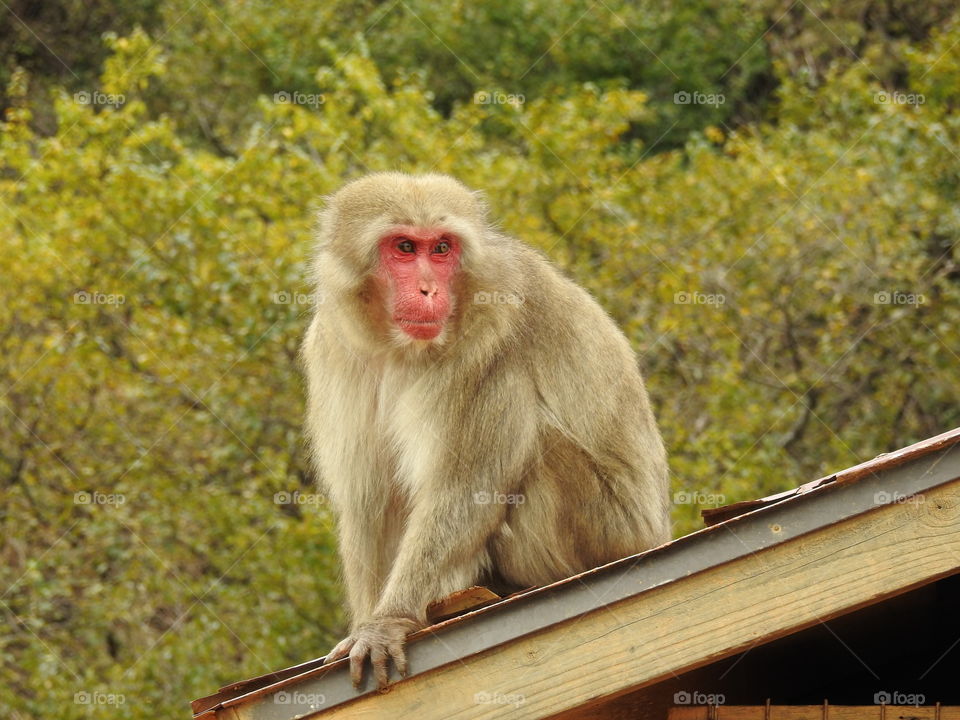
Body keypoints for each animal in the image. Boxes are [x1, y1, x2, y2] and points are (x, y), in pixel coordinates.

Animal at [300, 172, 670, 689]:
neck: (399, 348)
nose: (429, 290)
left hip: (609, 530)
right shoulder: (332, 348)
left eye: (442, 248)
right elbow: (371, 501)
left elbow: (465, 489)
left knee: (531, 427)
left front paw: (388, 621)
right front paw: (368, 622)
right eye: (404, 247)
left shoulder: (490, 341)